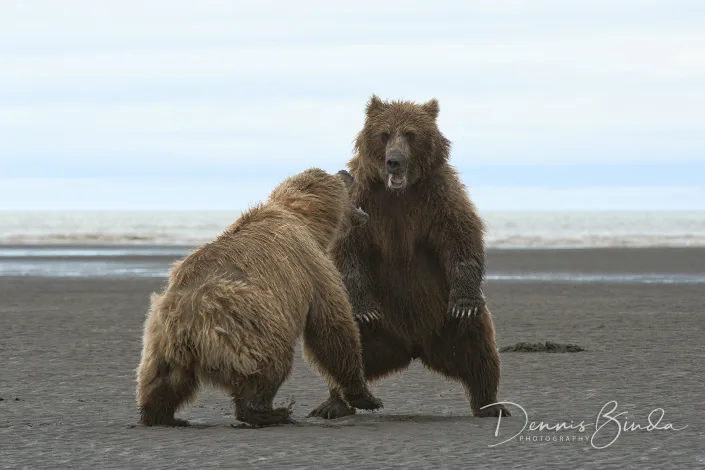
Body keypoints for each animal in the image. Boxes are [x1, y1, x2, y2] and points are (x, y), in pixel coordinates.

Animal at [135, 168, 383, 427]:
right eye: (333, 175)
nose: (346, 172)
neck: (307, 221)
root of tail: (185, 321)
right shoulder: (314, 265)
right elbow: (333, 325)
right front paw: (366, 397)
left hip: (159, 340)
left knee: (161, 381)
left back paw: (161, 415)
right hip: (246, 326)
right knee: (269, 365)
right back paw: (271, 411)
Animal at [308, 95, 510, 419]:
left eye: (411, 134)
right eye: (384, 133)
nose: (394, 161)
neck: (398, 194)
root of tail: (412, 346)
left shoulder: (438, 197)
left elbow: (461, 238)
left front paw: (465, 302)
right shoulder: (361, 201)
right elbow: (347, 250)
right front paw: (366, 309)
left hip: (446, 317)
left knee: (479, 348)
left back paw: (490, 404)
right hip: (372, 327)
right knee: (342, 347)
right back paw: (338, 402)